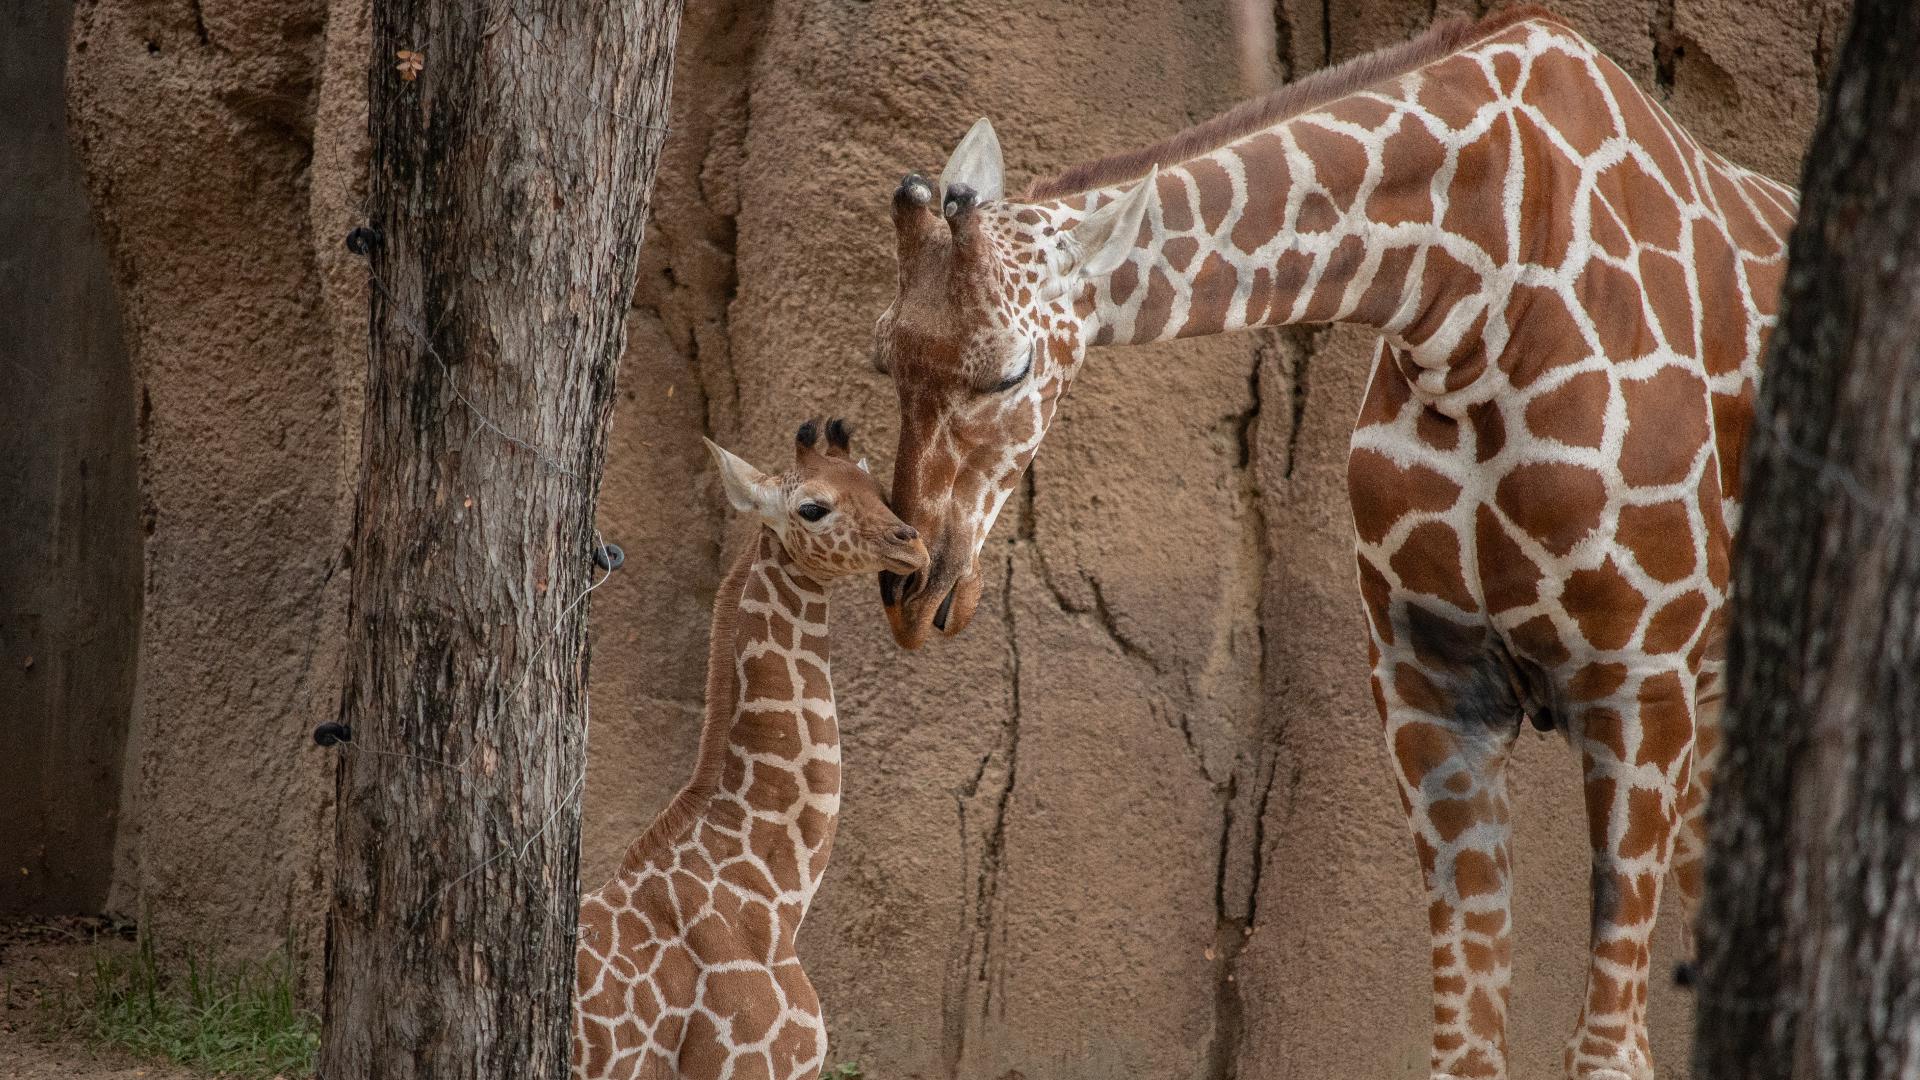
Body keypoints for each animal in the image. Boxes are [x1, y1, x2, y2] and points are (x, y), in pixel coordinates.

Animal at [868, 7, 1797, 1079]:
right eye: (882, 357)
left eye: (1012, 370)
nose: (916, 589)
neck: (1477, 288)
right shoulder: (1430, 686)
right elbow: (1466, 1045)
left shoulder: (1635, 681)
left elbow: (1609, 1050)